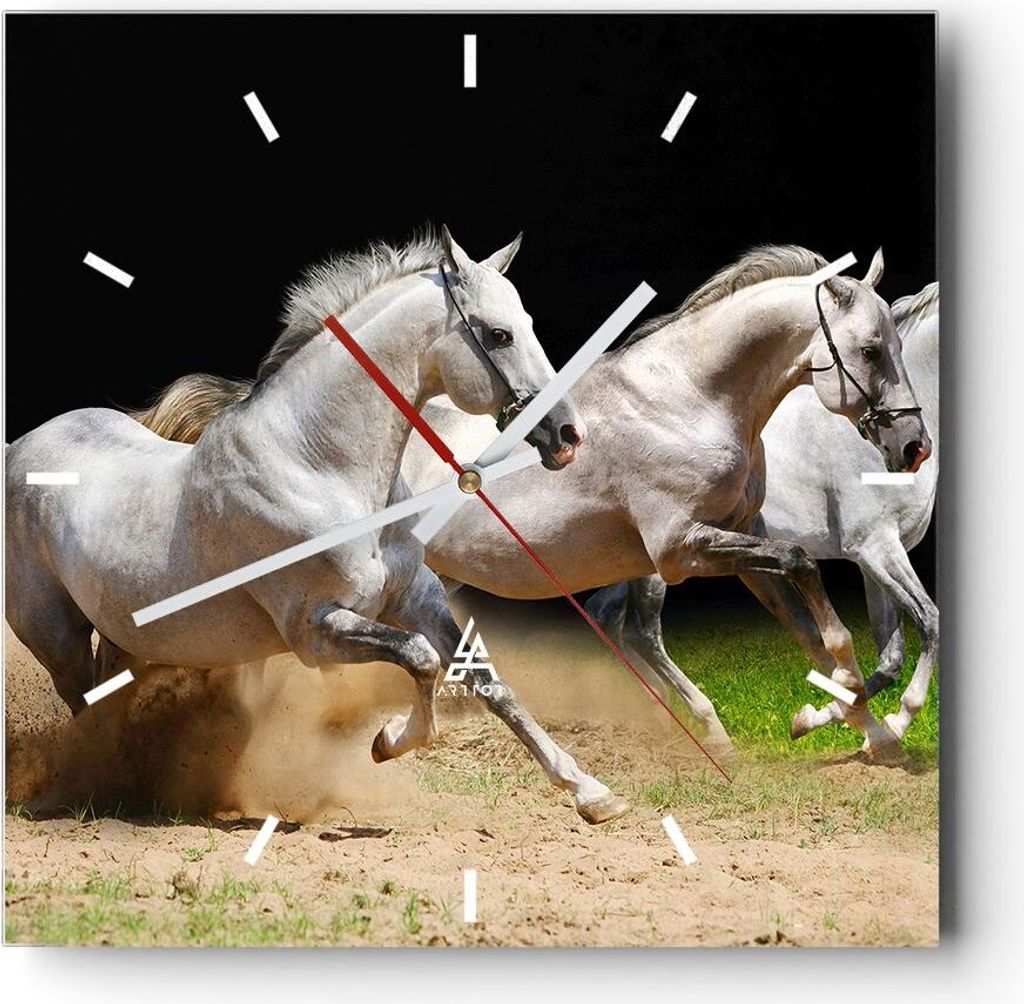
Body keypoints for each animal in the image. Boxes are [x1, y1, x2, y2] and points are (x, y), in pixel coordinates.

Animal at [5, 226, 635, 825]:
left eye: (526, 324)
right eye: (499, 334)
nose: (569, 435)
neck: (318, 466)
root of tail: (20, 447)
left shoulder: (416, 597)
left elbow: (482, 677)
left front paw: (592, 793)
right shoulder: (316, 630)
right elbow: (421, 659)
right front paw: (388, 741)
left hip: (126, 638)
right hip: (56, 637)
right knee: (82, 705)